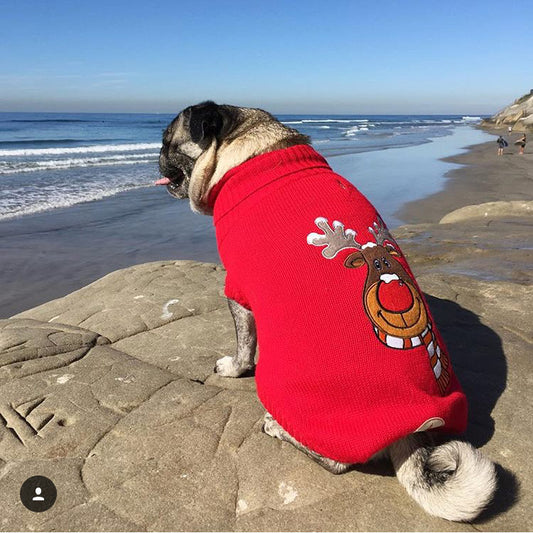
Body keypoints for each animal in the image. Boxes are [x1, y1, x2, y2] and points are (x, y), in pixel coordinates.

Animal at [156, 102, 496, 520]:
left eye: (166, 142)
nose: (157, 157)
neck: (249, 149)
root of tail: (412, 432)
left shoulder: (237, 288)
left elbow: (245, 343)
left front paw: (234, 368)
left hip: (277, 385)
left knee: (336, 462)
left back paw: (278, 428)